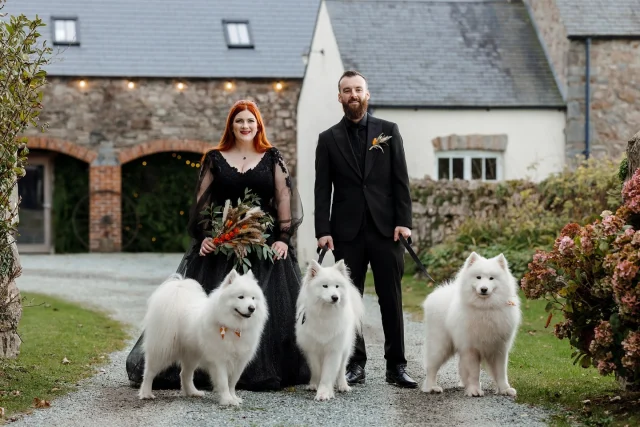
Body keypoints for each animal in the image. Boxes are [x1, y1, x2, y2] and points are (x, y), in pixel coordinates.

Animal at [138, 270, 268, 408]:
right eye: (241, 297)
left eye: (253, 298)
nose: (252, 308)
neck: (234, 328)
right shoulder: (220, 360)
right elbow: (224, 382)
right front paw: (227, 400)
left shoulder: (240, 361)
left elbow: (232, 383)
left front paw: (234, 398)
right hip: (162, 351)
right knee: (149, 372)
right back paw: (146, 394)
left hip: (192, 355)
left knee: (185, 374)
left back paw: (192, 392)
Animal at [296, 260, 364, 402]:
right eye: (325, 286)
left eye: (337, 286)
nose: (335, 297)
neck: (325, 314)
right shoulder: (313, 350)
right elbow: (317, 370)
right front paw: (317, 385)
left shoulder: (334, 350)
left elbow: (328, 374)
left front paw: (324, 393)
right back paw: (313, 384)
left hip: (345, 349)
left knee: (342, 368)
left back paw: (343, 386)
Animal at [422, 254, 524, 398]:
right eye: (478, 277)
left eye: (491, 278)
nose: (484, 289)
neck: (485, 308)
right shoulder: (471, 349)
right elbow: (474, 372)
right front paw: (474, 390)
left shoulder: (499, 349)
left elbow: (501, 373)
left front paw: (505, 389)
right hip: (440, 346)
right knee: (431, 368)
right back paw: (431, 387)